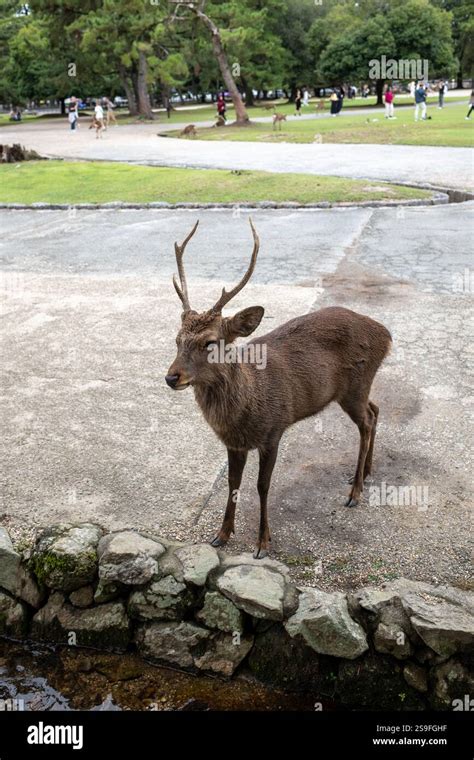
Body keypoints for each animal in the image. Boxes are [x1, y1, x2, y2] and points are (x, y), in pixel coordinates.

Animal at [165, 219, 392, 559]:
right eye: (177, 340)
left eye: (210, 342)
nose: (171, 377)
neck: (247, 406)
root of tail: (386, 334)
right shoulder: (234, 444)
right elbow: (232, 482)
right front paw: (222, 534)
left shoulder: (273, 430)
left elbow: (262, 485)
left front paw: (262, 543)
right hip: (357, 388)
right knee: (375, 410)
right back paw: (364, 473)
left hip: (356, 385)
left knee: (366, 421)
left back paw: (355, 493)